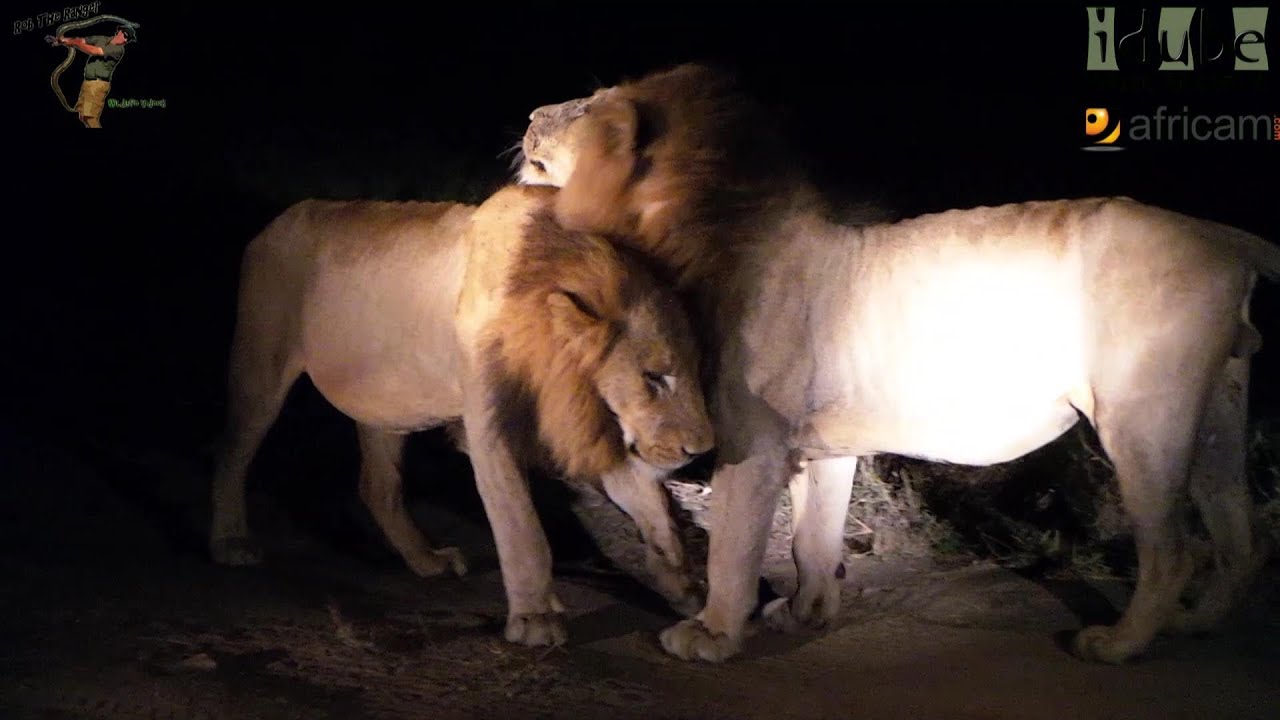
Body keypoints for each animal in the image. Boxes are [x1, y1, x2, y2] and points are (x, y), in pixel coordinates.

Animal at [210, 182, 714, 646]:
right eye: (654, 377)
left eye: (693, 370)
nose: (702, 449)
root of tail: (279, 220)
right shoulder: (489, 428)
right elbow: (521, 524)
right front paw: (535, 618)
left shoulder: (587, 425)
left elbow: (652, 504)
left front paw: (683, 584)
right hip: (260, 370)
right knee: (230, 453)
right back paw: (230, 540)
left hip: (388, 404)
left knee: (378, 487)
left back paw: (427, 560)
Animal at [518, 63, 1276, 664]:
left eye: (585, 107)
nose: (528, 116)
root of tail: (1229, 237)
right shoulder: (820, 446)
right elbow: (813, 541)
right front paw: (804, 614)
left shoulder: (752, 439)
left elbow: (733, 541)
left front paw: (711, 633)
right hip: (1215, 418)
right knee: (1238, 538)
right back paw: (1198, 623)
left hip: (1140, 419)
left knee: (1176, 549)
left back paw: (1118, 644)